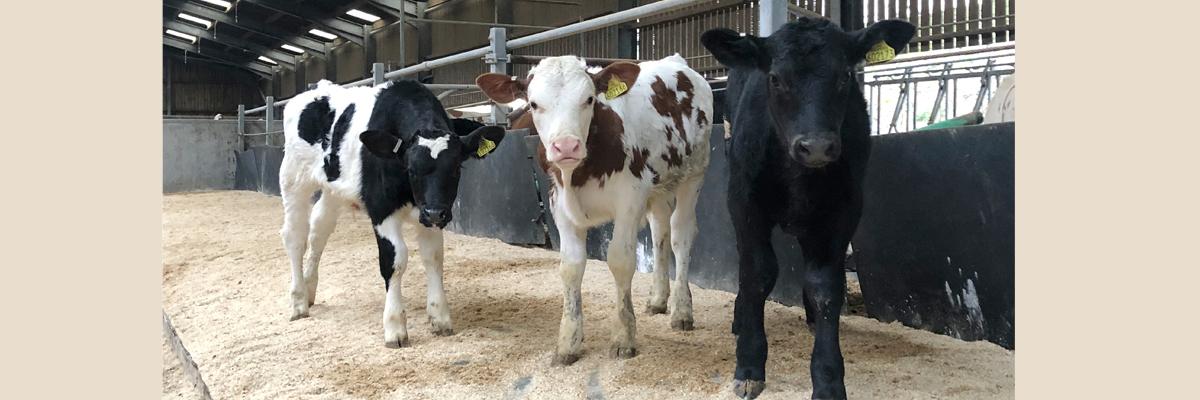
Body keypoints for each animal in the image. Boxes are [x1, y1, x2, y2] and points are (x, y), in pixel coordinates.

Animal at [278, 79, 506, 348]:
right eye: (411, 169)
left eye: (456, 169)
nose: (436, 213)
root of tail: (317, 87)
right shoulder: (382, 210)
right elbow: (394, 260)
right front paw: (395, 327)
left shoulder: (427, 215)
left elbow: (434, 258)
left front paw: (440, 316)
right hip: (293, 179)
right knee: (295, 237)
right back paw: (298, 301)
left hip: (333, 190)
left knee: (318, 231)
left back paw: (309, 288)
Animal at [476, 54, 713, 364]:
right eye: (534, 104)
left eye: (588, 99)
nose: (566, 146)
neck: (578, 173)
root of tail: (676, 61)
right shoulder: (559, 205)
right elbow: (571, 266)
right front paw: (568, 343)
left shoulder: (629, 199)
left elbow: (621, 261)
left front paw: (624, 337)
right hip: (659, 188)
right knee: (659, 232)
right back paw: (658, 299)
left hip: (694, 174)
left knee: (679, 235)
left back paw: (682, 310)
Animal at [701, 18, 915, 399]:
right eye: (775, 78)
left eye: (845, 76)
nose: (815, 146)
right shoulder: (744, 202)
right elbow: (757, 273)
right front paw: (749, 364)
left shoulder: (844, 210)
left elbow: (825, 287)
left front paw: (828, 379)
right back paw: (741, 318)